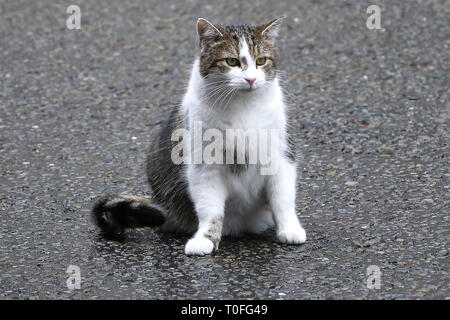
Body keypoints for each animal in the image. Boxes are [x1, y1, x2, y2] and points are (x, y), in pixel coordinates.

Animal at [93, 18, 308, 255]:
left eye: (261, 60)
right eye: (232, 61)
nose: (251, 79)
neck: (243, 106)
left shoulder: (280, 155)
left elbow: (283, 198)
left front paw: (289, 229)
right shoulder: (205, 164)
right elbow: (210, 208)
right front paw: (206, 238)